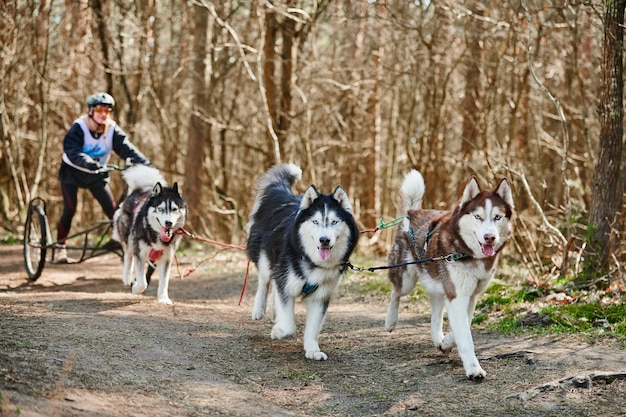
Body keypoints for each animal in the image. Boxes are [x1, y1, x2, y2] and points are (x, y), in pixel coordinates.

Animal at [112, 164, 186, 304]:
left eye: (175, 209)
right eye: (160, 209)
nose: (168, 223)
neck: (154, 234)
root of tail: (138, 191)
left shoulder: (166, 258)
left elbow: (164, 282)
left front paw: (163, 298)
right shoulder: (140, 254)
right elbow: (142, 283)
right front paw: (136, 288)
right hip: (129, 239)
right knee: (128, 256)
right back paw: (127, 277)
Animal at [246, 164, 358, 360]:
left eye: (334, 221)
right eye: (315, 221)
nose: (324, 240)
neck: (311, 260)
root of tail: (284, 196)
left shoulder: (320, 295)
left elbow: (312, 328)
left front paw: (312, 349)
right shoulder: (287, 282)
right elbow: (289, 325)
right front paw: (278, 331)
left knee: (274, 285)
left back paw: (274, 312)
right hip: (266, 258)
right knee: (264, 281)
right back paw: (259, 309)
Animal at [386, 168, 512, 376]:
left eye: (497, 217)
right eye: (478, 217)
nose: (490, 238)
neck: (467, 253)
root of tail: (412, 212)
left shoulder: (470, 296)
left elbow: (464, 325)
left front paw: (446, 343)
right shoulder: (457, 295)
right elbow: (466, 336)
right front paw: (473, 369)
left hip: (436, 285)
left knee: (435, 315)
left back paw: (438, 339)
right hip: (407, 280)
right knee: (396, 292)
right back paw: (390, 321)